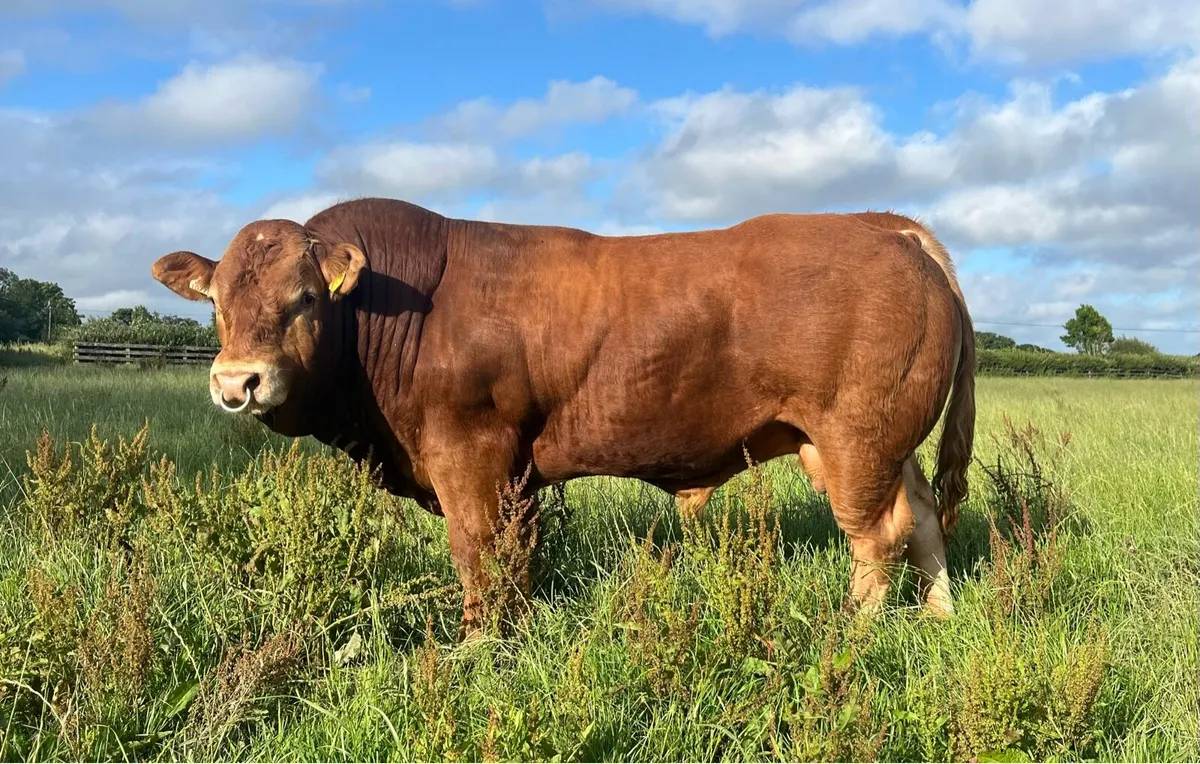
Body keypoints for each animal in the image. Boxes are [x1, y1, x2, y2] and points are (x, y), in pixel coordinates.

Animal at [150, 197, 975, 634]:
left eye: (303, 300)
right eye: (217, 305)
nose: (237, 382)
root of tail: (882, 225)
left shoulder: (469, 453)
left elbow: (477, 550)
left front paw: (477, 645)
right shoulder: (514, 471)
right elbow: (516, 555)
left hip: (854, 438)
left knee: (878, 536)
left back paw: (855, 634)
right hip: (874, 442)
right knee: (924, 517)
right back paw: (940, 617)